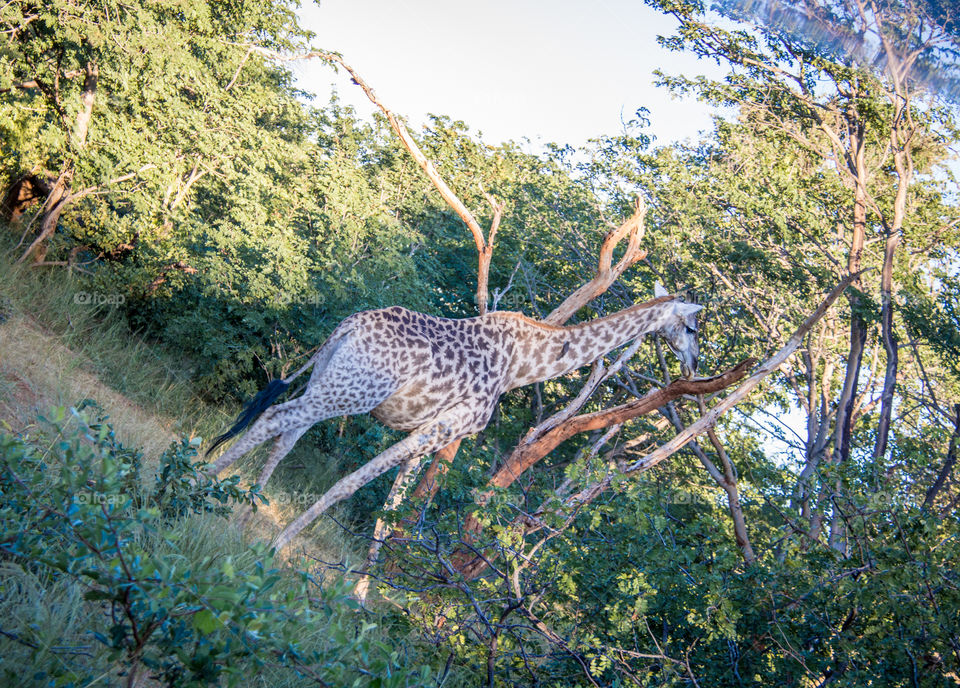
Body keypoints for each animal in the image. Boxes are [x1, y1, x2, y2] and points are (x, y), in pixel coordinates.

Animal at [206, 284, 700, 548]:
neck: (520, 366)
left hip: (330, 377)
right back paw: (199, 485)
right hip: (353, 392)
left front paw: (358, 592)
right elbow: (352, 484)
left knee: (286, 433)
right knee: (275, 418)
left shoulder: (430, 432)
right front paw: (279, 548)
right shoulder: (445, 428)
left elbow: (393, 505)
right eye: (693, 327)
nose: (694, 363)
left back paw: (239, 510)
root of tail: (348, 325)